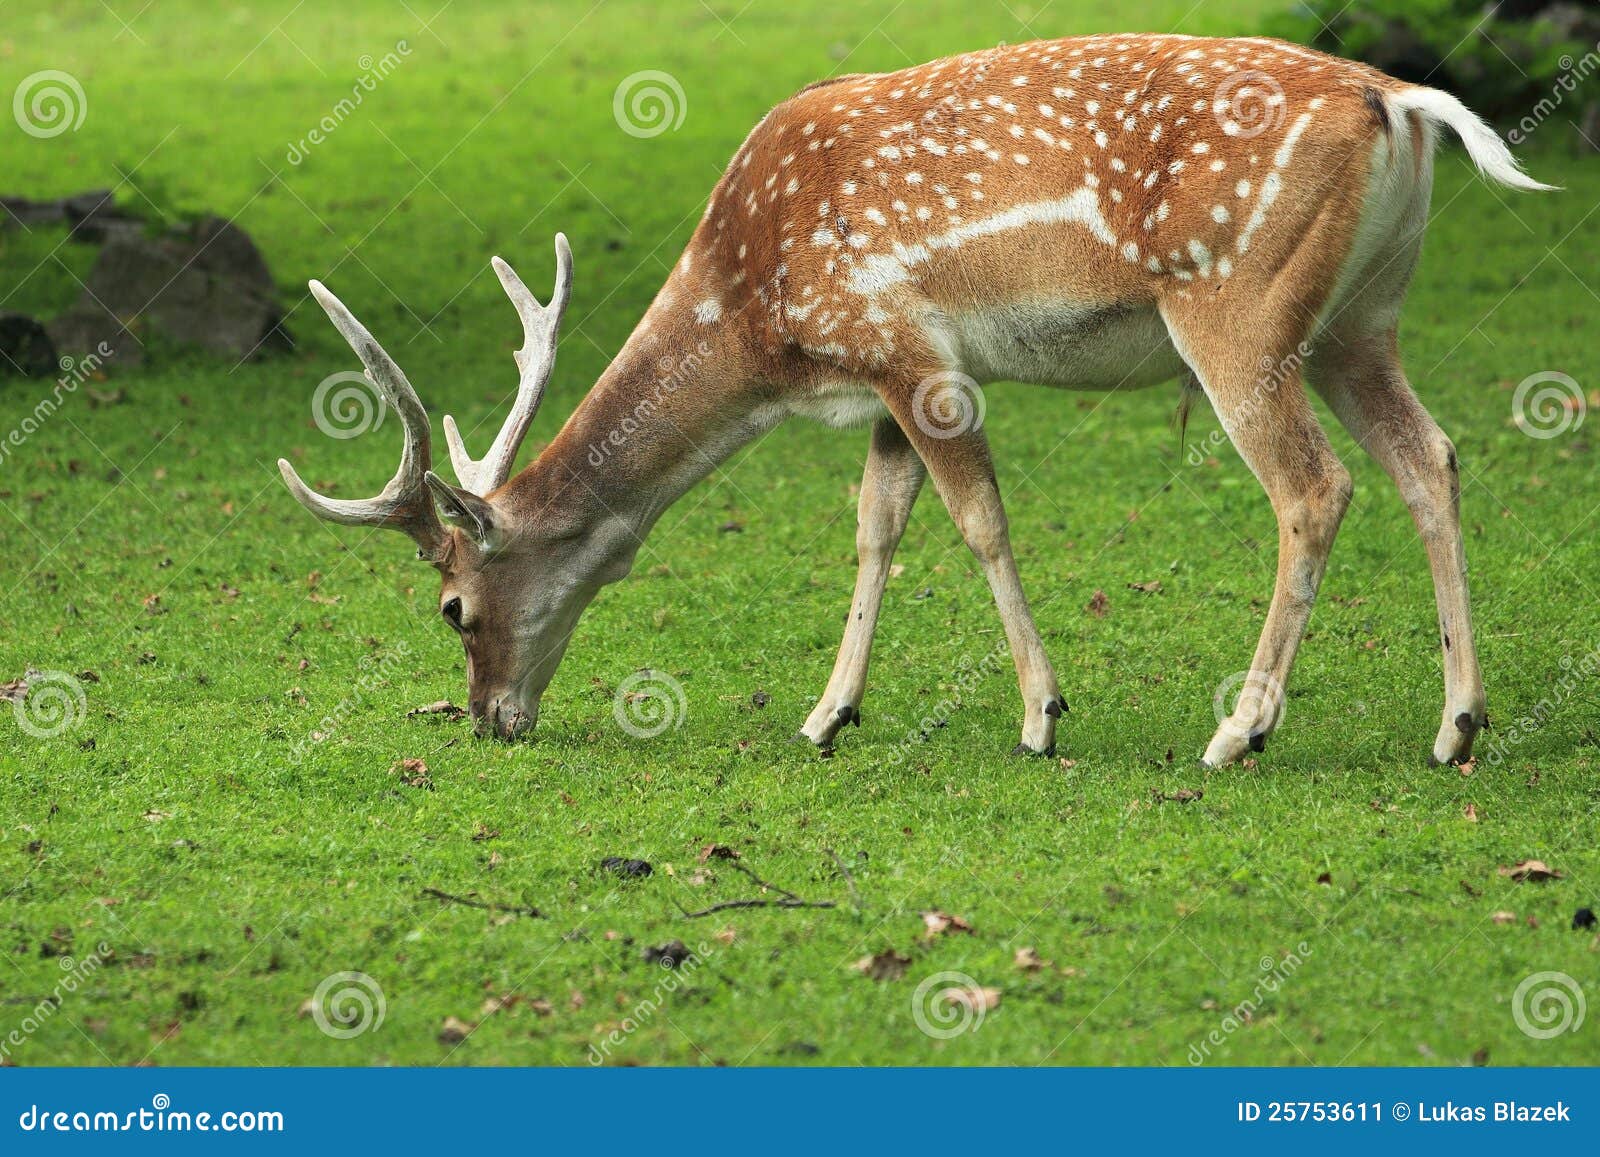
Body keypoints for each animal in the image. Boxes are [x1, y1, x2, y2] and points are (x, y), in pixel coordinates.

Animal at [278, 31, 1548, 764]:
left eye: (452, 607)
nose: (490, 717)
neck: (761, 326)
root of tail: (1403, 104)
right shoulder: (884, 375)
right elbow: (876, 525)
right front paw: (826, 713)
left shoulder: (908, 349)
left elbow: (978, 520)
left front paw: (1041, 716)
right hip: (1357, 319)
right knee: (1429, 455)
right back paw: (1457, 722)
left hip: (1237, 307)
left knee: (1314, 487)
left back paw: (1239, 729)